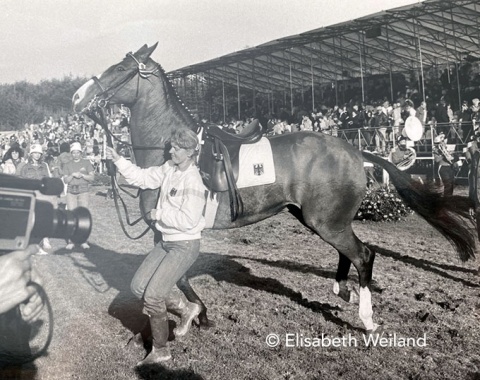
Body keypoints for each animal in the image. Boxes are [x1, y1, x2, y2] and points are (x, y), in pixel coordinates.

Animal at [72, 43, 476, 332]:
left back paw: (366, 318)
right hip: (322, 219)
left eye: (120, 69)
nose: (77, 97)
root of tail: (353, 149)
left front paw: (199, 313)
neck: (169, 151)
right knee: (350, 252)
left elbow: (179, 275)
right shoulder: (166, 232)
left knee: (364, 255)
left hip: (325, 221)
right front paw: (198, 313)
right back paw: (341, 289)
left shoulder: (173, 230)